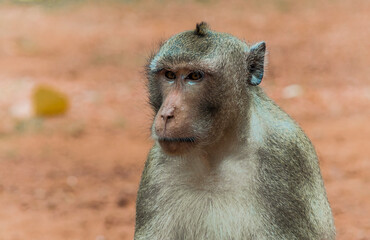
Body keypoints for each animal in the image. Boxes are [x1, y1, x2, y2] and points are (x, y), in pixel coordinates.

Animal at [135, 22, 336, 240]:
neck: (214, 155)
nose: (166, 114)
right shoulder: (157, 165)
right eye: (169, 75)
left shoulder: (287, 153)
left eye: (194, 76)